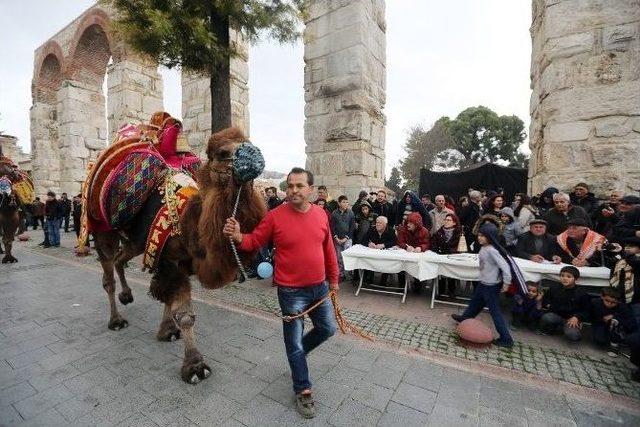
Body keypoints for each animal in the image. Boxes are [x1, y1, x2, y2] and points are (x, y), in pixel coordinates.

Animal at [81, 113, 266, 384]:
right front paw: (195, 366)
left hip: (136, 241)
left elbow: (167, 297)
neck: (188, 221)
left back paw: (127, 295)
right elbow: (185, 314)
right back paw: (116, 319)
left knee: (120, 258)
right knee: (108, 271)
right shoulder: (169, 259)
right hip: (102, 228)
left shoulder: (173, 259)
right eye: (223, 152)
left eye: (248, 142)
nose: (255, 154)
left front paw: (168, 330)